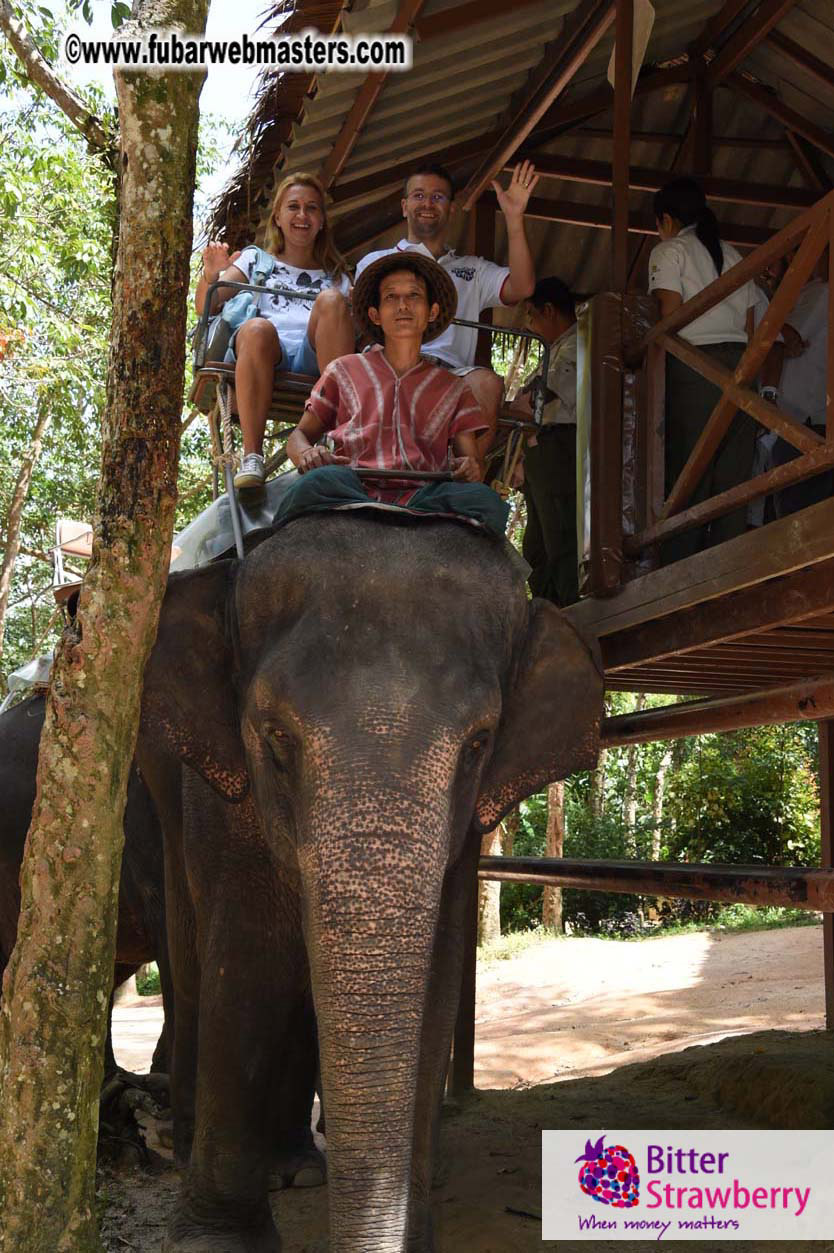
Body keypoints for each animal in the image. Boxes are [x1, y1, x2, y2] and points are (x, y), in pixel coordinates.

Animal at [137, 510, 603, 1253]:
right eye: (274, 737)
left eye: (479, 743)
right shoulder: (224, 804)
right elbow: (248, 958)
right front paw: (214, 1241)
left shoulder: (463, 837)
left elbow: (438, 978)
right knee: (190, 960)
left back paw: (300, 1167)